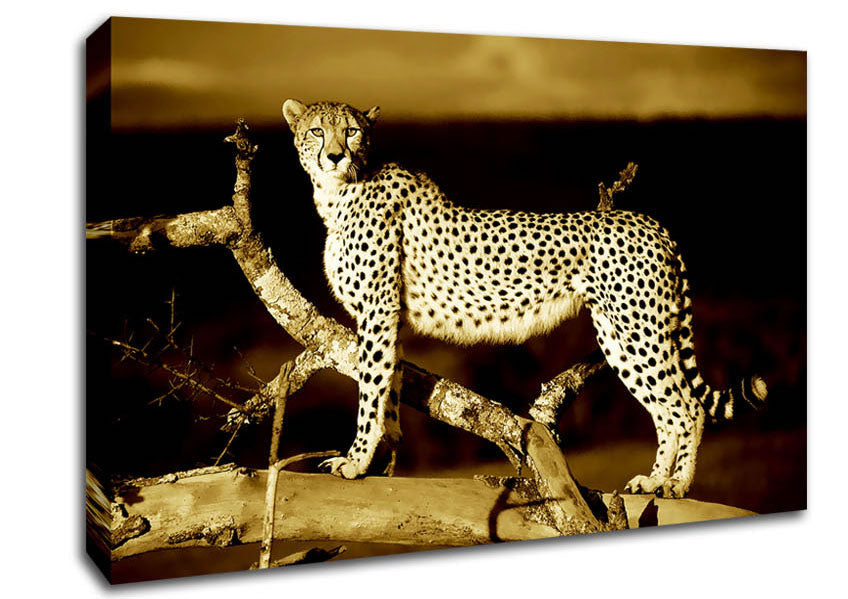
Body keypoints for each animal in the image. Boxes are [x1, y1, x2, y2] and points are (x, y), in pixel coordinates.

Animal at [282, 98, 768, 498]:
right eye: (317, 131)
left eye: (352, 131)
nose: (335, 156)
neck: (339, 192)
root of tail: (649, 221)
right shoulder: (390, 317)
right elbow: (391, 387)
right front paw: (381, 458)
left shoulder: (378, 312)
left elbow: (371, 388)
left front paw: (356, 460)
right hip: (618, 335)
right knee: (667, 409)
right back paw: (655, 482)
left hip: (639, 331)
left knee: (686, 407)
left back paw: (676, 485)